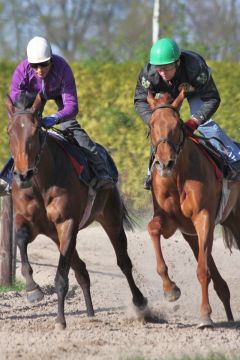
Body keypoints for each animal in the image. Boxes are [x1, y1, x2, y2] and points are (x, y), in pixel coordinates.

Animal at [5, 93, 147, 330]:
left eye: (36, 131)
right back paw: (90, 312)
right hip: (56, 235)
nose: (23, 175)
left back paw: (139, 301)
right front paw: (33, 290)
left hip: (111, 218)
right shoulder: (25, 221)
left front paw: (60, 320)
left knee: (123, 262)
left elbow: (61, 276)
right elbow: (22, 245)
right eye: (9, 131)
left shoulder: (67, 223)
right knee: (81, 269)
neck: (41, 182)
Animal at [146, 90, 240, 330]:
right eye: (151, 124)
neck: (178, 177)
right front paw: (170, 290)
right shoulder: (172, 221)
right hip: (196, 233)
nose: (164, 163)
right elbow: (153, 229)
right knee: (219, 281)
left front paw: (205, 315)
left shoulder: (203, 218)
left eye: (177, 125)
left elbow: (202, 270)